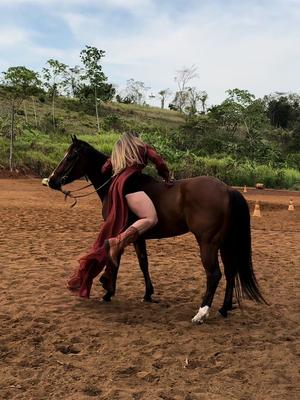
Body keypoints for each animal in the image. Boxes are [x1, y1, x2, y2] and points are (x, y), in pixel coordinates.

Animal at [48, 136, 266, 324]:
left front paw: (108, 289)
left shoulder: (120, 230)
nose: (51, 180)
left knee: (214, 275)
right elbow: (143, 263)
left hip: (208, 243)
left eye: (71, 156)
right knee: (230, 272)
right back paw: (224, 308)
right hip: (225, 243)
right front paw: (147, 294)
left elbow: (115, 257)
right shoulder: (139, 237)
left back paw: (201, 313)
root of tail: (228, 189)